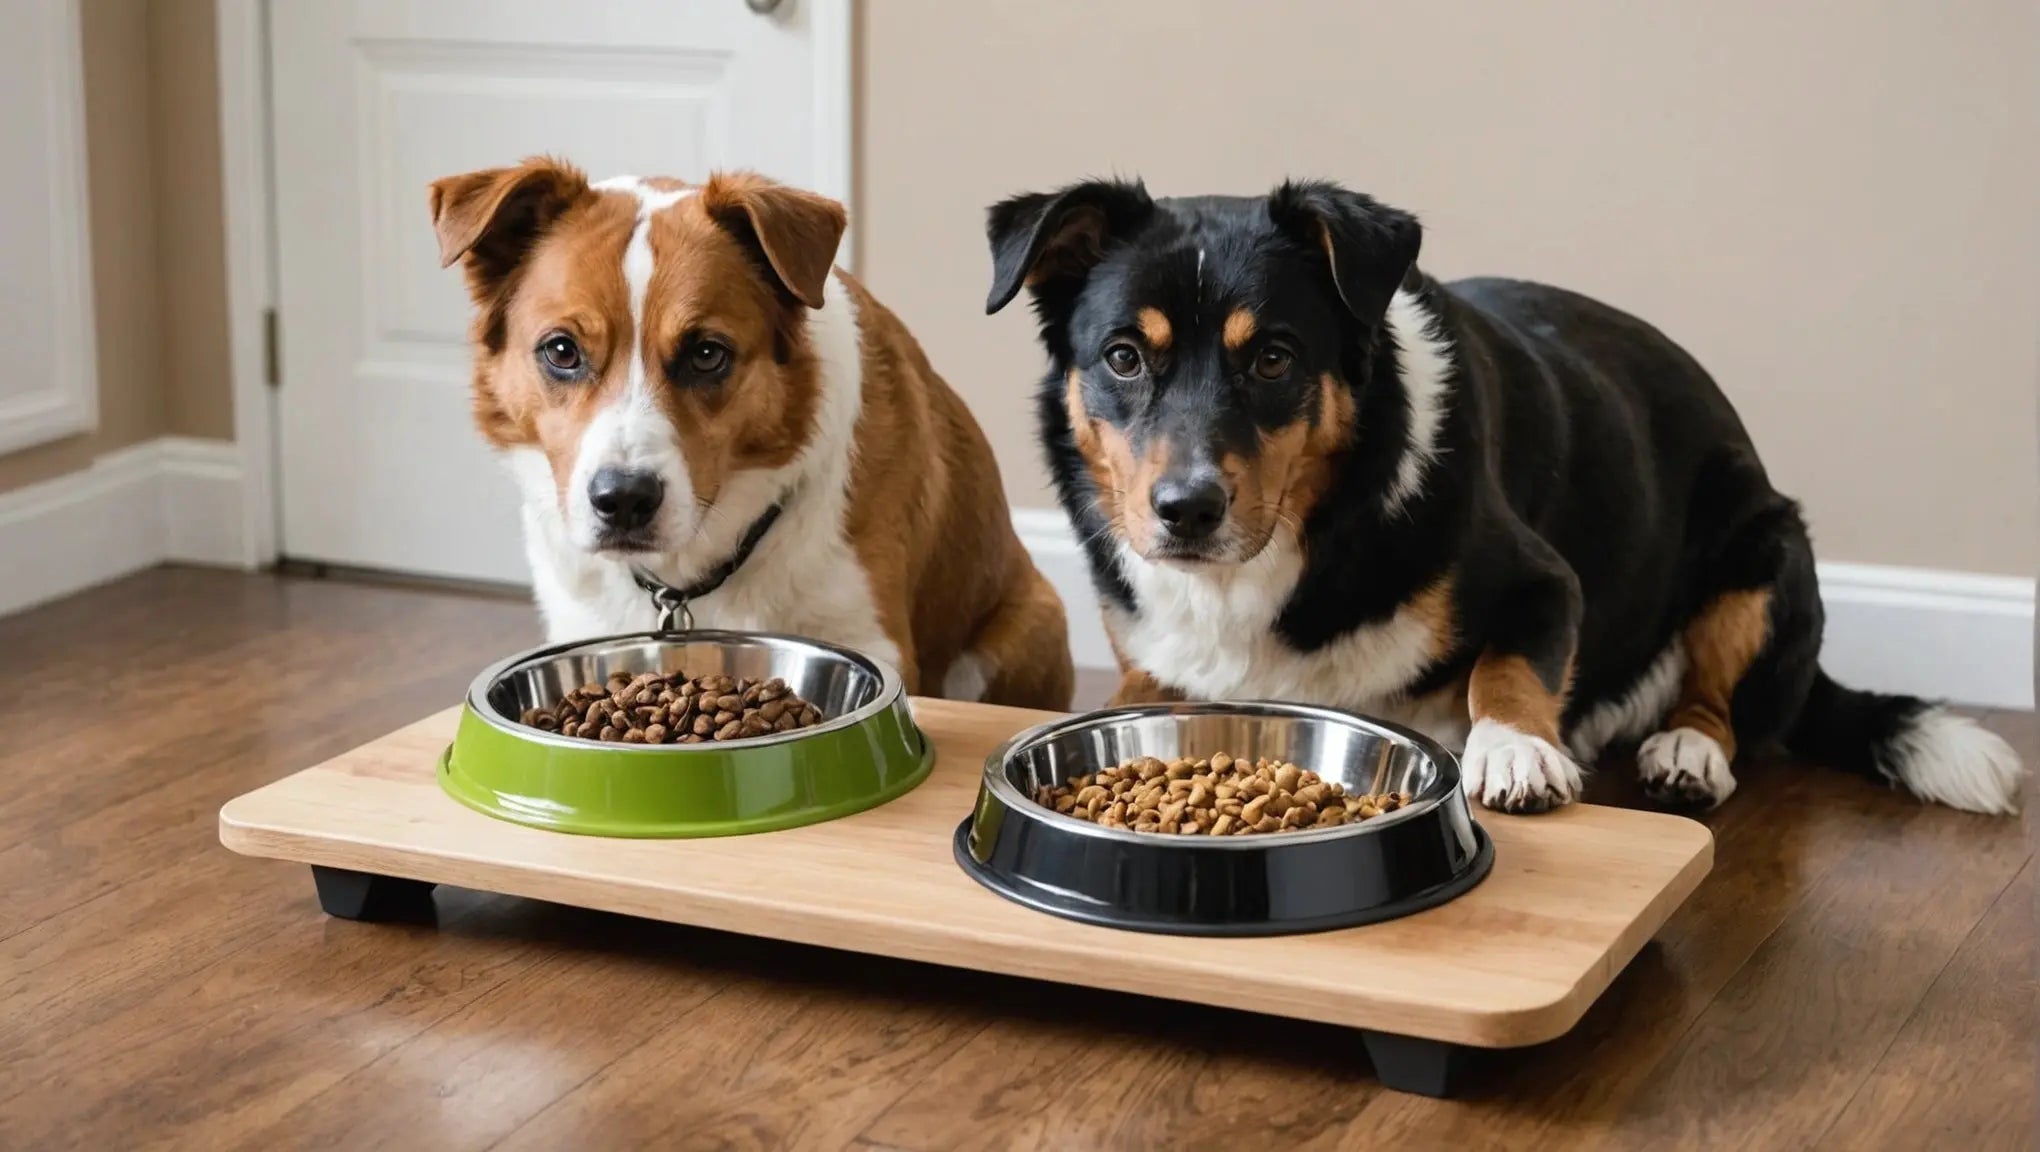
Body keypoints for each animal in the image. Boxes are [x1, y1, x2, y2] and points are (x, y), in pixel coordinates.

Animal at [422, 156, 1077, 705]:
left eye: (707, 353)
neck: (687, 576)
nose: (624, 500)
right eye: (561, 350)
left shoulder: (869, 636)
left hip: (1023, 630)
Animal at [983, 175, 2023, 811]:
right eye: (1123, 357)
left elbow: (1508, 666)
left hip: (1765, 548)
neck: (1289, 549)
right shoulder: (1151, 649)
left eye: (1274, 358)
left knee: (1721, 701)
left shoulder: (1546, 582)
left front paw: (1515, 751)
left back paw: (1687, 753)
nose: (1186, 511)